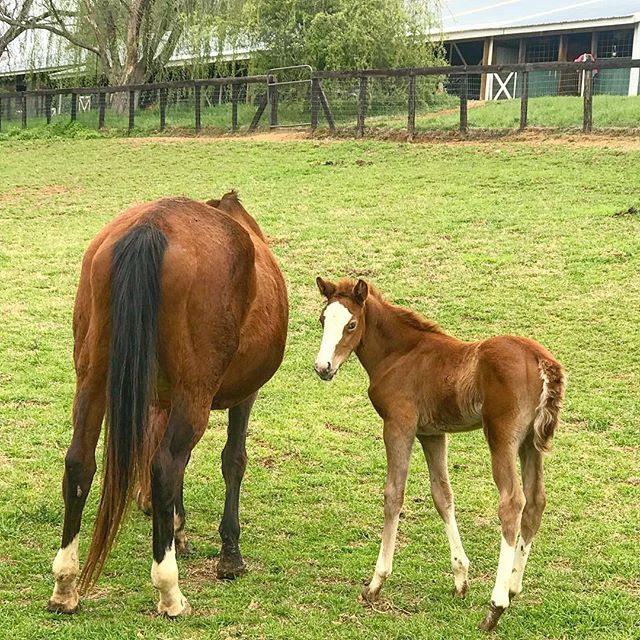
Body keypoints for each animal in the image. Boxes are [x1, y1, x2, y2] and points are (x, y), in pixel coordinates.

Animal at [48, 192, 288, 617]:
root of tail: (152, 226)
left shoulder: (158, 400)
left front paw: (176, 526)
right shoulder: (244, 395)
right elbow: (233, 460)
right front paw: (229, 553)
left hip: (92, 382)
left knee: (79, 463)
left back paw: (65, 586)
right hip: (194, 396)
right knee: (165, 467)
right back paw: (169, 591)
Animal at [313, 277, 564, 631]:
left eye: (351, 324)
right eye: (323, 320)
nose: (323, 367)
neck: (400, 354)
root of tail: (541, 360)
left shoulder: (399, 425)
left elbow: (394, 495)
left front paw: (376, 583)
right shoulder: (432, 433)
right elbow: (442, 495)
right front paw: (460, 578)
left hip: (502, 437)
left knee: (512, 502)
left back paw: (496, 606)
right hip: (531, 443)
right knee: (536, 502)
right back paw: (513, 588)